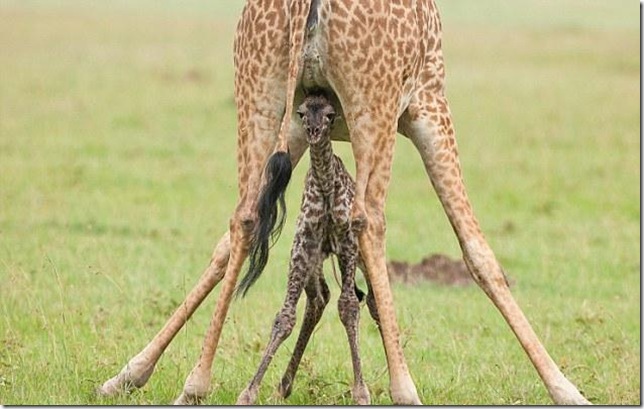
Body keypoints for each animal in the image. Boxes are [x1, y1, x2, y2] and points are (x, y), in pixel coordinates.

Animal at [236, 92, 373, 405]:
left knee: (370, 301)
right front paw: (249, 391)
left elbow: (349, 307)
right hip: (314, 260)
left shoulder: (347, 243)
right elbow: (284, 317)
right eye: (301, 113)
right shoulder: (303, 244)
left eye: (330, 114)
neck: (326, 187)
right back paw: (284, 384)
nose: (313, 131)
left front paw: (361, 391)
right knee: (319, 297)